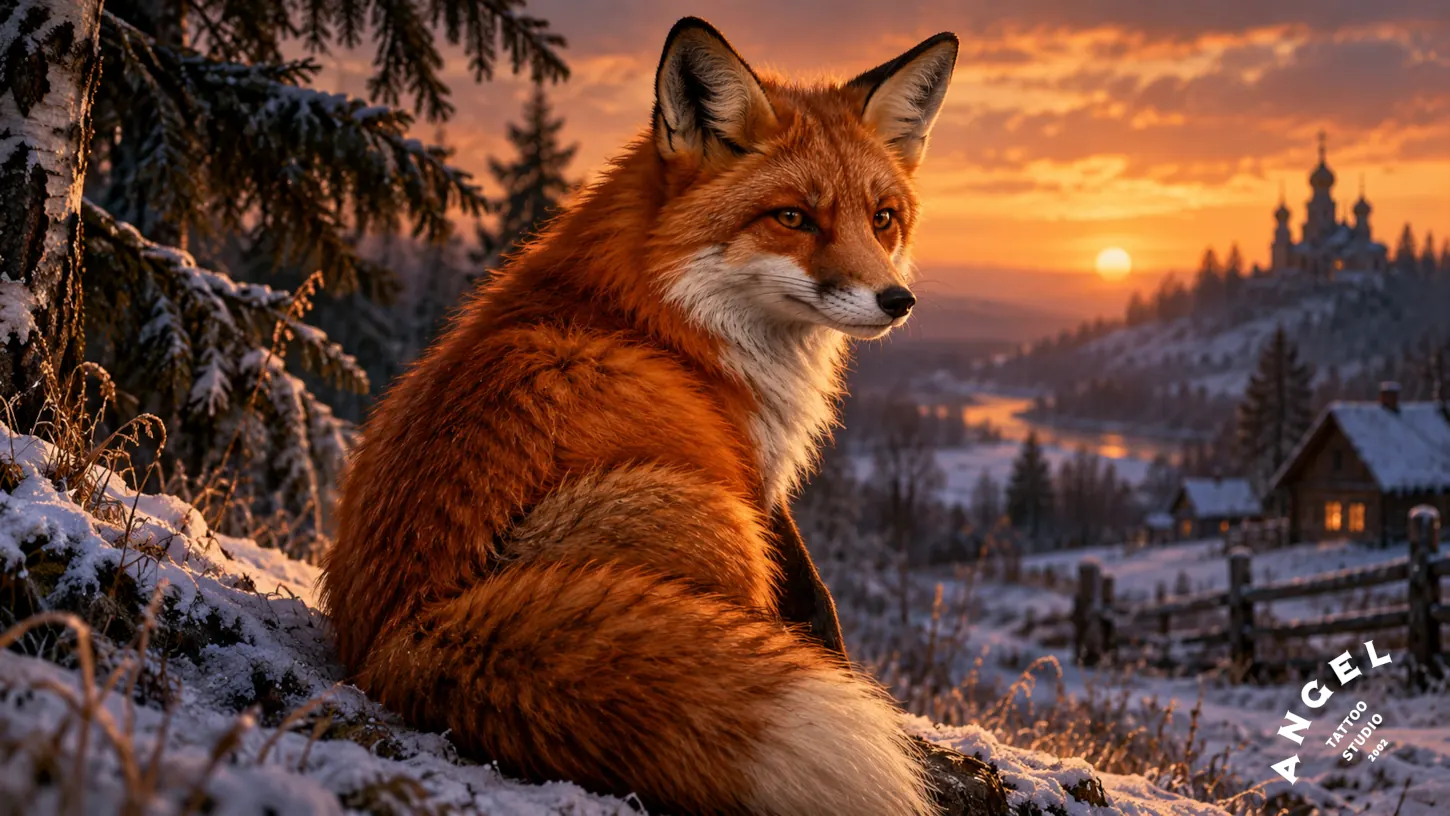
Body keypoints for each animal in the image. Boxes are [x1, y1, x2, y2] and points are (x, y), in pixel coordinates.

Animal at [321, 17, 967, 816]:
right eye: (793, 218)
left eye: (883, 220)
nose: (895, 302)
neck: (665, 314)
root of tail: (405, 633)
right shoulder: (754, 482)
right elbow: (815, 602)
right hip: (707, 516)